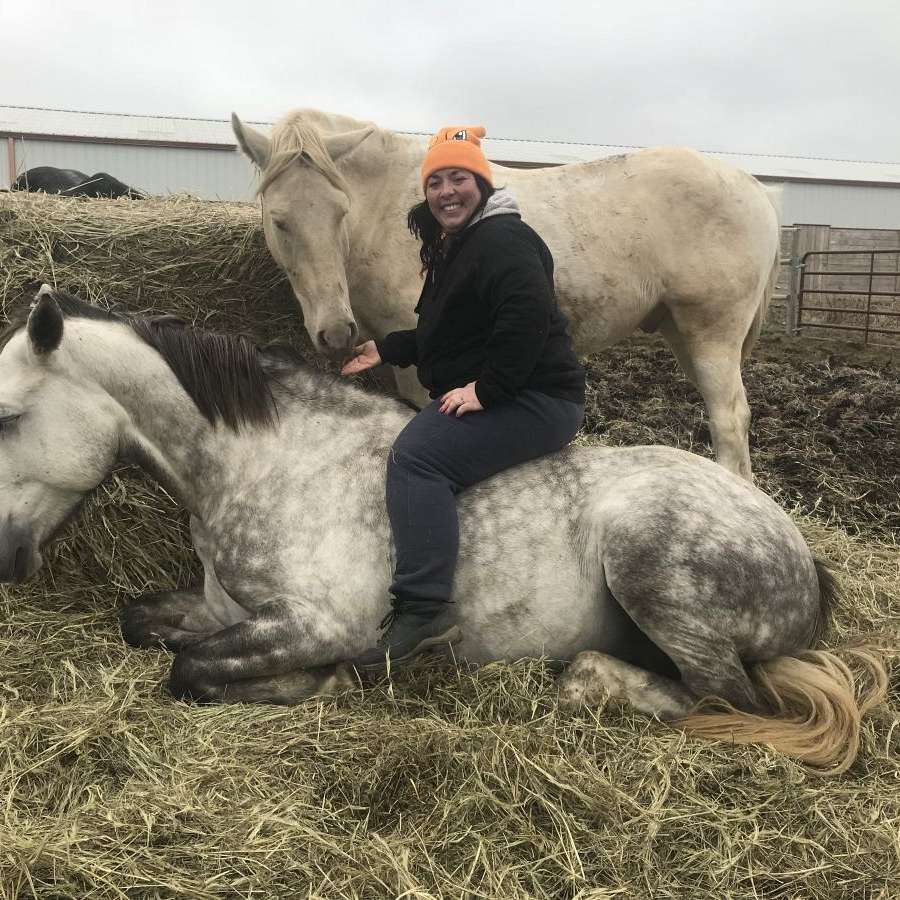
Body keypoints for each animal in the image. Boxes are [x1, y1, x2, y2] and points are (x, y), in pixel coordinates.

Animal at [0, 288, 884, 772]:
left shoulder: (315, 623)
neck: (275, 459)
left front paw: (324, 685)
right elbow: (143, 624)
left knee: (729, 701)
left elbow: (190, 671)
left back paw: (589, 680)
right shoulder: (223, 607)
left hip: (654, 567)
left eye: (8, 417)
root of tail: (801, 554)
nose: (5, 557)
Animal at [232, 110, 780, 482]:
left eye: (340, 212)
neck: (388, 211)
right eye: (280, 220)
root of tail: (754, 189)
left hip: (711, 335)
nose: (336, 331)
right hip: (683, 333)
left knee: (730, 420)